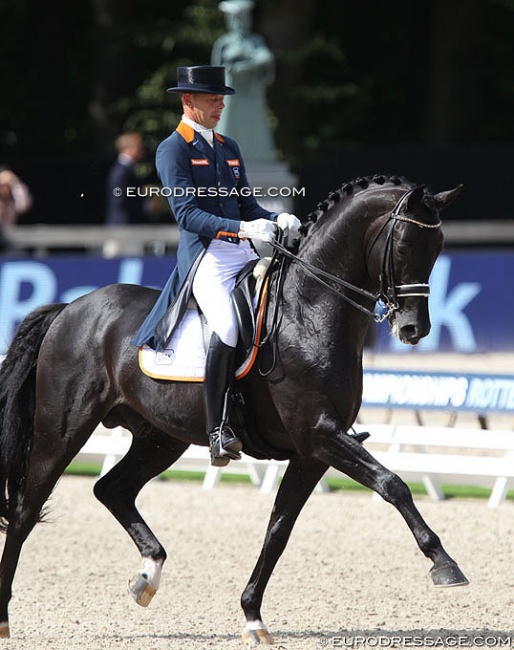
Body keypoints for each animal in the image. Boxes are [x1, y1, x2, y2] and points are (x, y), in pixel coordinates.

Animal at [0, 175, 464, 640]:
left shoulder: (312, 452)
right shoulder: (320, 434)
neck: (310, 311)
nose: (414, 329)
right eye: (403, 246)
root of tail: (71, 309)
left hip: (159, 438)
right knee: (26, 510)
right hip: (61, 430)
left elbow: (279, 530)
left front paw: (252, 615)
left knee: (111, 489)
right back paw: (5, 614)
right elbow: (393, 484)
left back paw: (147, 575)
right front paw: (444, 564)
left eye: (439, 246)